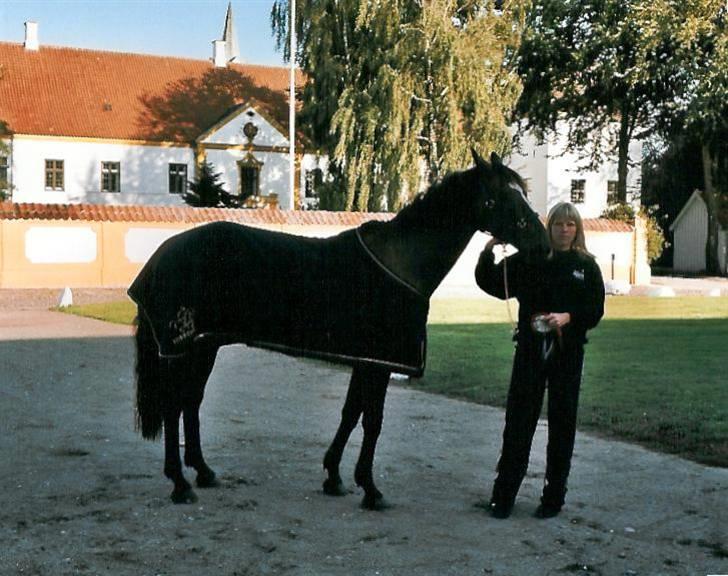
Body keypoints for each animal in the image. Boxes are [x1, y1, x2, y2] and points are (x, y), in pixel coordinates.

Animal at [129, 152, 544, 508]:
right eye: (503, 197)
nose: (541, 241)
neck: (401, 262)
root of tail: (164, 253)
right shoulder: (380, 362)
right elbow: (372, 422)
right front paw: (371, 489)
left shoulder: (366, 359)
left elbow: (351, 413)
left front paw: (335, 477)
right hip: (182, 347)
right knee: (173, 406)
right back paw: (180, 484)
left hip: (204, 345)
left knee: (190, 401)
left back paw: (203, 472)